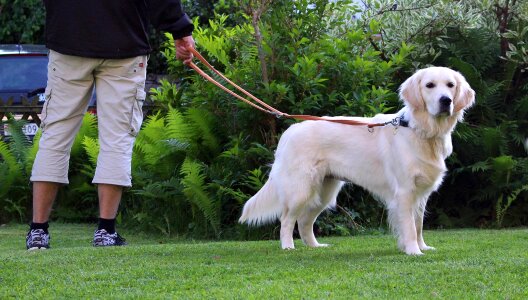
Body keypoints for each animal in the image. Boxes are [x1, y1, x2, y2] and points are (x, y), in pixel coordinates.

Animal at [238, 67, 474, 254]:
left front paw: (423, 246)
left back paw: (315, 246)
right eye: (429, 85)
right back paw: (288, 246)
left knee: (305, 221)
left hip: (325, 191)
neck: (420, 130)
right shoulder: (405, 192)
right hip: (300, 189)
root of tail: (290, 131)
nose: (446, 101)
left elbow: (418, 224)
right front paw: (414, 251)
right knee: (287, 219)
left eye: (450, 85)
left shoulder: (421, 194)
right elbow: (408, 226)